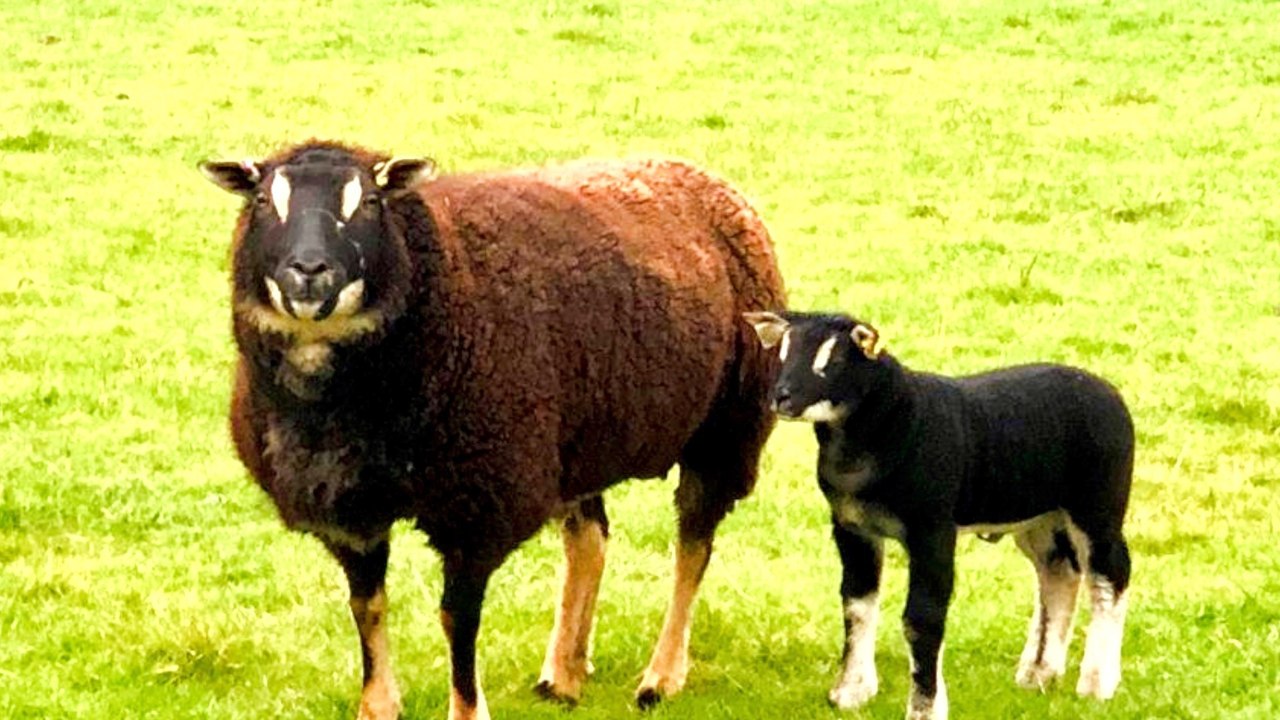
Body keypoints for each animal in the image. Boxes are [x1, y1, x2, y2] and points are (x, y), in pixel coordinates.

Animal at [199, 140, 786, 720]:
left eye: (369, 202)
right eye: (261, 202)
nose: (308, 270)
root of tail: (699, 173)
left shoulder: (479, 506)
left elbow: (456, 619)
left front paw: (466, 709)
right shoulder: (350, 512)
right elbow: (367, 607)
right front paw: (377, 705)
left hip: (727, 431)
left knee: (693, 547)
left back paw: (660, 677)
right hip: (576, 442)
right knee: (590, 540)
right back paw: (564, 673)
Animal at [744, 310, 1133, 720]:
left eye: (832, 360)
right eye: (783, 352)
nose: (781, 397)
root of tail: (1107, 390)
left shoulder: (932, 528)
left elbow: (922, 619)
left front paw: (925, 707)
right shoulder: (852, 527)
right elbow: (856, 605)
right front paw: (850, 692)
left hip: (1098, 506)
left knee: (1110, 578)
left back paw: (1097, 682)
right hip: (1041, 517)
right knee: (1058, 574)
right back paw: (1039, 673)